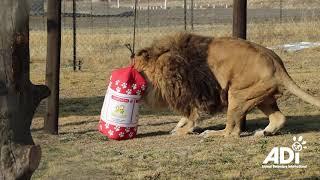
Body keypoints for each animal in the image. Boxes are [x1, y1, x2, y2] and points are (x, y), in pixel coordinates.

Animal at [132, 32, 320, 137]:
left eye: (135, 70)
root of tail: (277, 63)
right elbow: (187, 116)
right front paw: (178, 126)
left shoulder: (197, 92)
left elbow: (193, 116)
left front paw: (182, 131)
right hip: (261, 96)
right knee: (279, 118)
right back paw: (263, 132)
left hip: (237, 95)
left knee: (232, 132)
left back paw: (211, 134)